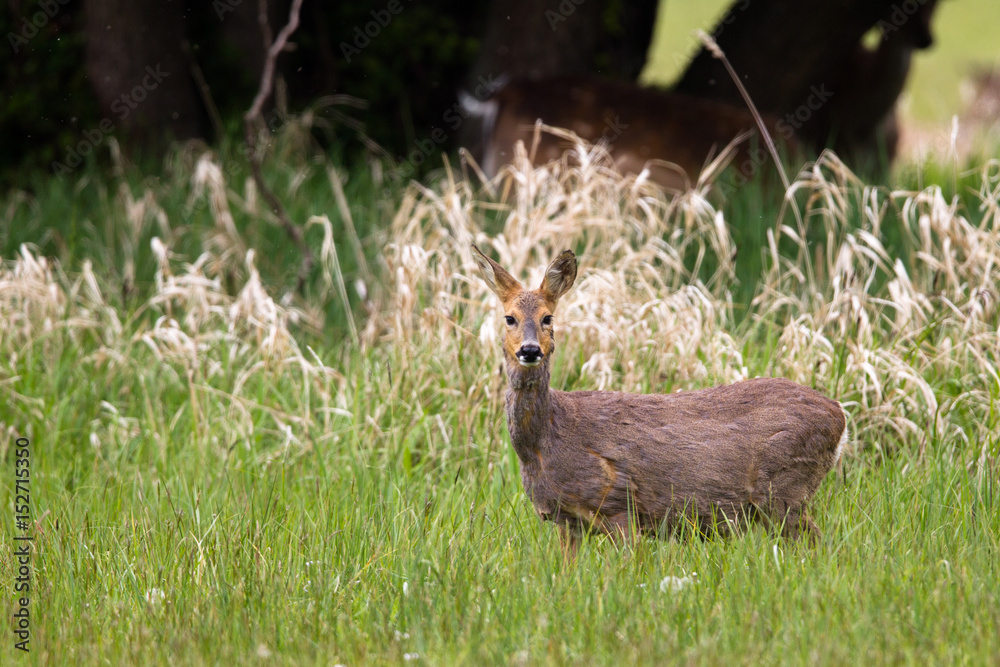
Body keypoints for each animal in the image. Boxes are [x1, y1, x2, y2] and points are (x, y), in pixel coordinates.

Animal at [472, 245, 847, 553]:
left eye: (547, 318)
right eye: (509, 318)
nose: (530, 350)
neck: (546, 440)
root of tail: (839, 415)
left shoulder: (621, 506)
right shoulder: (567, 521)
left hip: (783, 489)